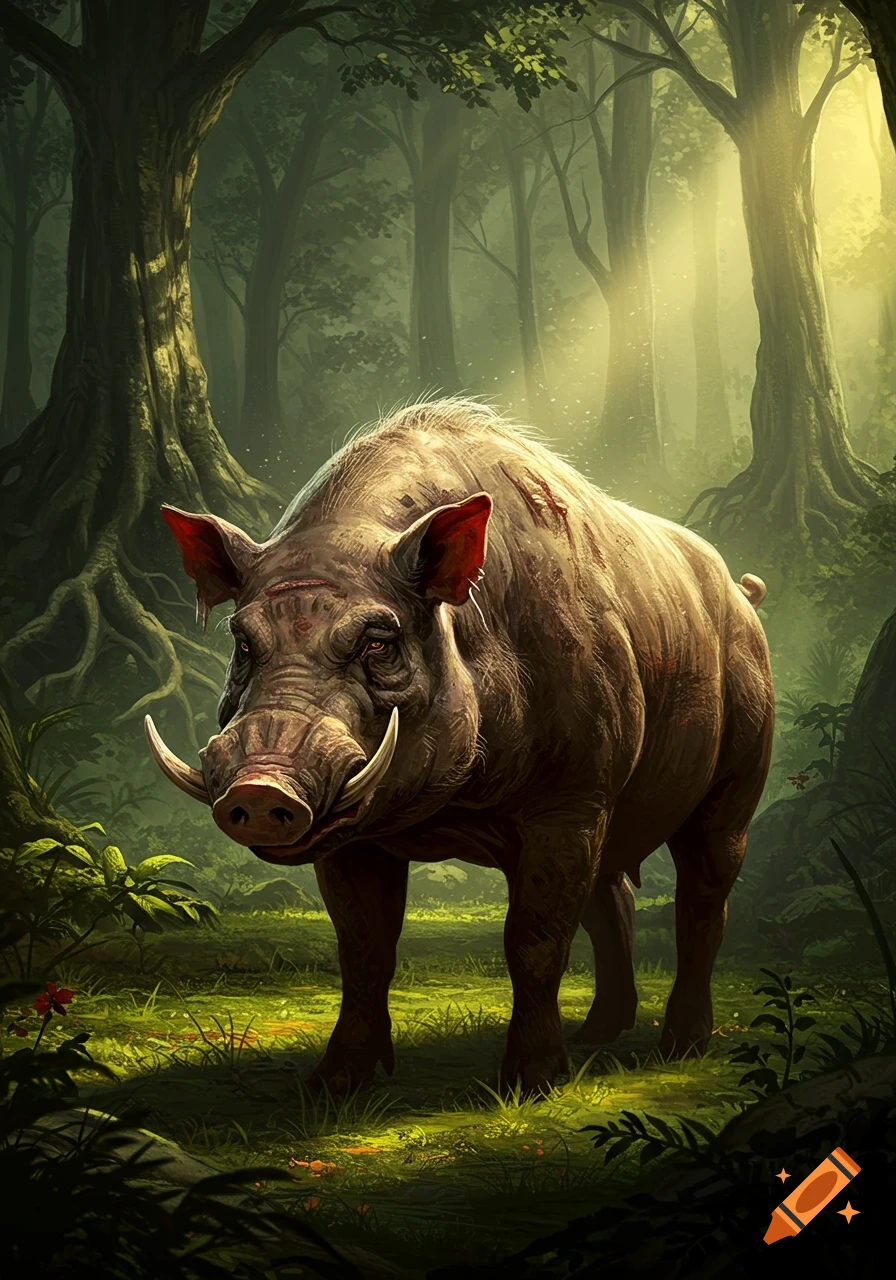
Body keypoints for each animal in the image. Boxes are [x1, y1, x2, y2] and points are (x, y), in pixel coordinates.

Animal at [146, 397, 774, 1096]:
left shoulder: (572, 797)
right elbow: (363, 949)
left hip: (737, 768)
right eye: (242, 640)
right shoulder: (353, 831)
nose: (260, 787)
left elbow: (534, 939)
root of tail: (743, 595)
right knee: (614, 895)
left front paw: (531, 1085)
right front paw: (332, 1086)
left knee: (704, 891)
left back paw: (680, 1049)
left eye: (379, 641)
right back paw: (598, 1037)